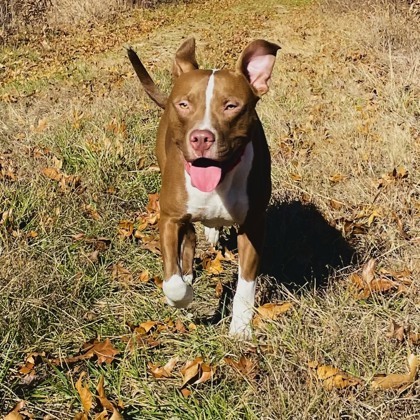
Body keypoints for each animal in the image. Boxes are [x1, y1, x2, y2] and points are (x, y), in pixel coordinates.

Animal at [128, 37, 278, 338]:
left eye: (231, 106)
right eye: (184, 104)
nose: (201, 138)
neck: (219, 180)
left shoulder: (254, 224)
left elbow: (246, 283)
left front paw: (240, 326)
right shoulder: (169, 218)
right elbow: (172, 282)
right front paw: (184, 295)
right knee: (189, 237)